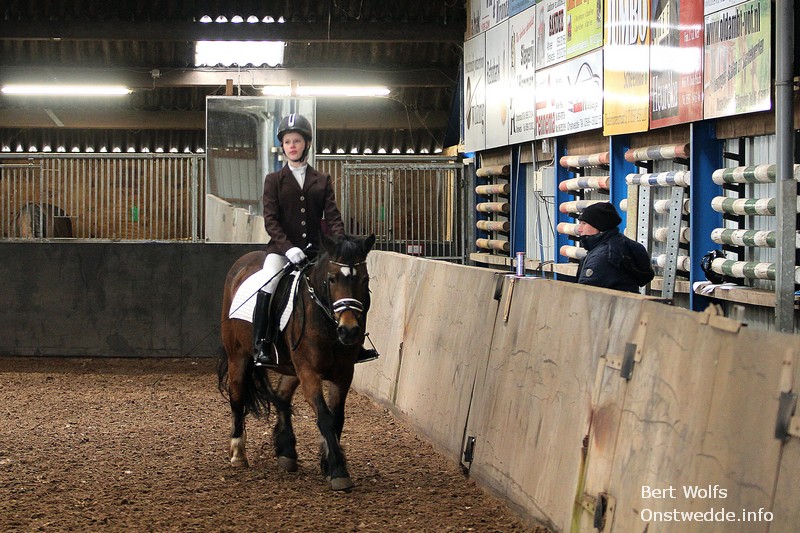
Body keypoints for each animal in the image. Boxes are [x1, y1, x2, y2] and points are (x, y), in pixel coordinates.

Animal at [217, 232, 375, 491]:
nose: (349, 330)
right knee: (237, 397)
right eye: (332, 279)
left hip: (291, 366)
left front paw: (328, 464)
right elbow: (324, 417)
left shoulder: (343, 373)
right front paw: (338, 471)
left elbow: (337, 418)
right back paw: (238, 454)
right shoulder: (309, 371)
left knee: (281, 396)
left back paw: (287, 452)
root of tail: (242, 263)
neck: (327, 324)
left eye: (364, 279)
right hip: (238, 356)